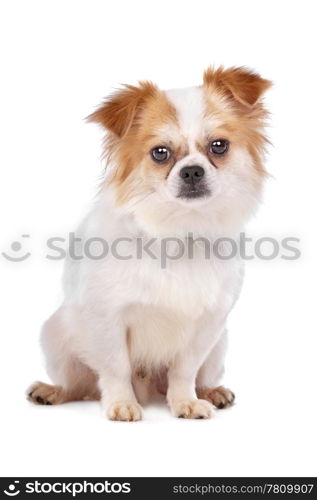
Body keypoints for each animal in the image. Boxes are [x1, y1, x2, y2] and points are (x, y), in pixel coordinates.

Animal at [27, 65, 270, 418]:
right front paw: (121, 403)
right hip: (57, 333)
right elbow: (115, 367)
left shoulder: (208, 325)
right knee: (81, 385)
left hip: (219, 346)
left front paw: (185, 402)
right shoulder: (106, 317)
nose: (192, 171)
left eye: (219, 146)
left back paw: (211, 392)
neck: (178, 229)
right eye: (160, 153)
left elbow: (184, 371)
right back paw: (53, 391)